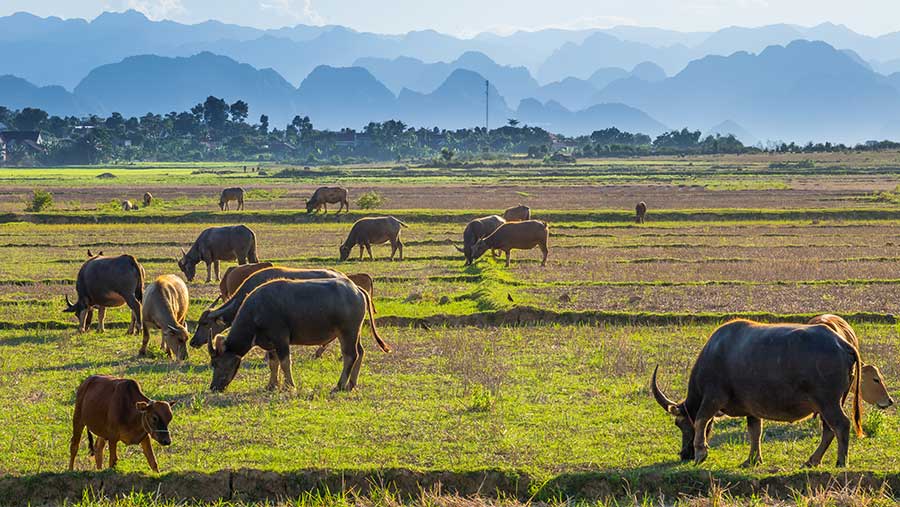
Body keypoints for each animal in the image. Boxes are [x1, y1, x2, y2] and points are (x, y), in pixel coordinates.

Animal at [207, 278, 390, 392]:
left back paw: (339, 386)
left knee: (350, 355)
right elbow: (273, 363)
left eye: (218, 363)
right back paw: (351, 384)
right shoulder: (270, 343)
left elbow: (285, 362)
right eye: (212, 364)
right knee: (361, 352)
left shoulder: (281, 338)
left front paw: (289, 386)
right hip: (354, 333)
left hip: (347, 332)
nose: (214, 387)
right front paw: (271, 385)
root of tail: (357, 289)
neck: (256, 312)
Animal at [652, 320, 864, 470]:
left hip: (828, 402)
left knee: (841, 425)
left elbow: (700, 420)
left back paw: (840, 461)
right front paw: (753, 459)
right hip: (830, 403)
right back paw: (812, 460)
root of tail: (842, 343)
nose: (684, 454)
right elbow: (755, 430)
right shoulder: (751, 408)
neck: (715, 354)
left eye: (679, 424)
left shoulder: (713, 397)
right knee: (829, 430)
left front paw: (700, 453)